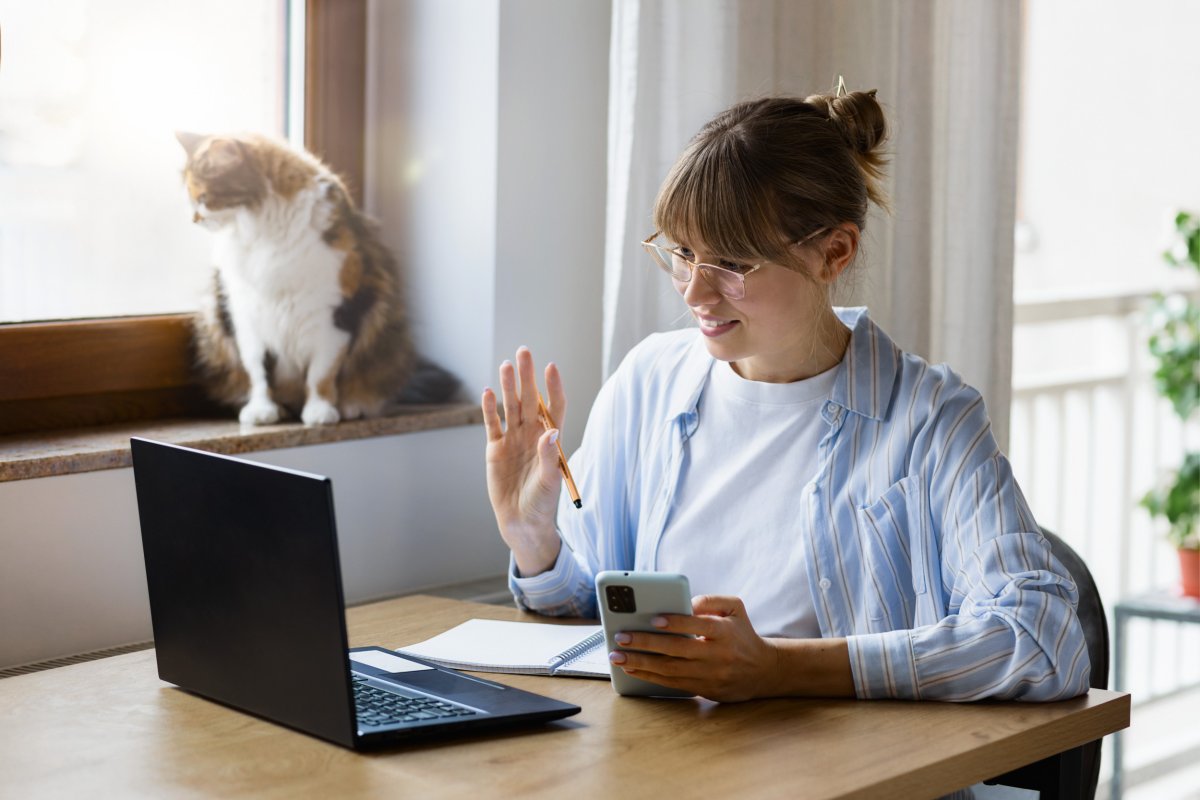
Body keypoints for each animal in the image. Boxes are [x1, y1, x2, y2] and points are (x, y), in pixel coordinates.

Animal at [175, 131, 456, 424]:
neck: (265, 231)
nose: (194, 219)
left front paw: (320, 412)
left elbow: (321, 373)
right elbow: (258, 371)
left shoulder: (335, 312)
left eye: (203, 197)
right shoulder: (245, 315)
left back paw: (351, 406)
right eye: (190, 199)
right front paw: (262, 410)